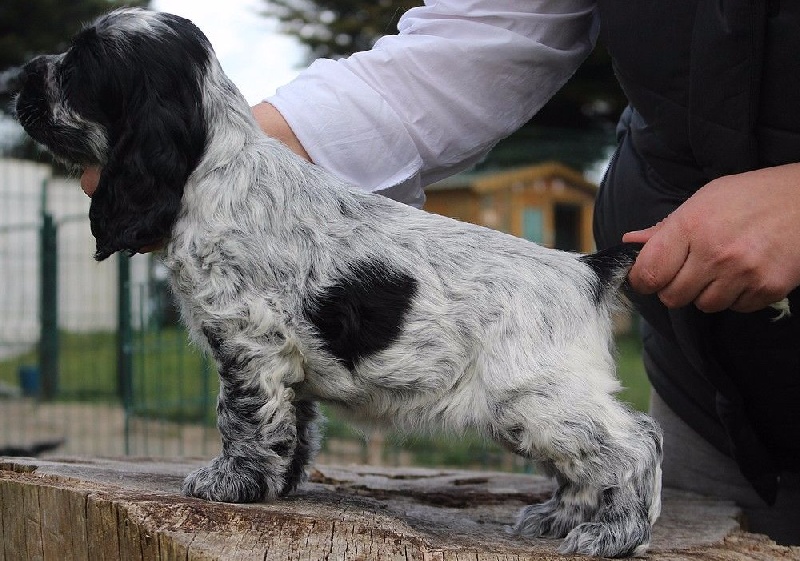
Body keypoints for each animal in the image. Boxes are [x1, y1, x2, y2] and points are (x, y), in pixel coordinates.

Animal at [15, 8, 664, 556]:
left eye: (77, 68)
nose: (19, 74)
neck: (214, 169)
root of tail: (585, 269)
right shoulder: (281, 358)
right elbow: (293, 423)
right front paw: (279, 484)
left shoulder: (249, 339)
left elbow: (243, 415)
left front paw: (232, 481)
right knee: (588, 462)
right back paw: (560, 517)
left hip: (537, 397)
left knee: (637, 441)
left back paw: (613, 533)